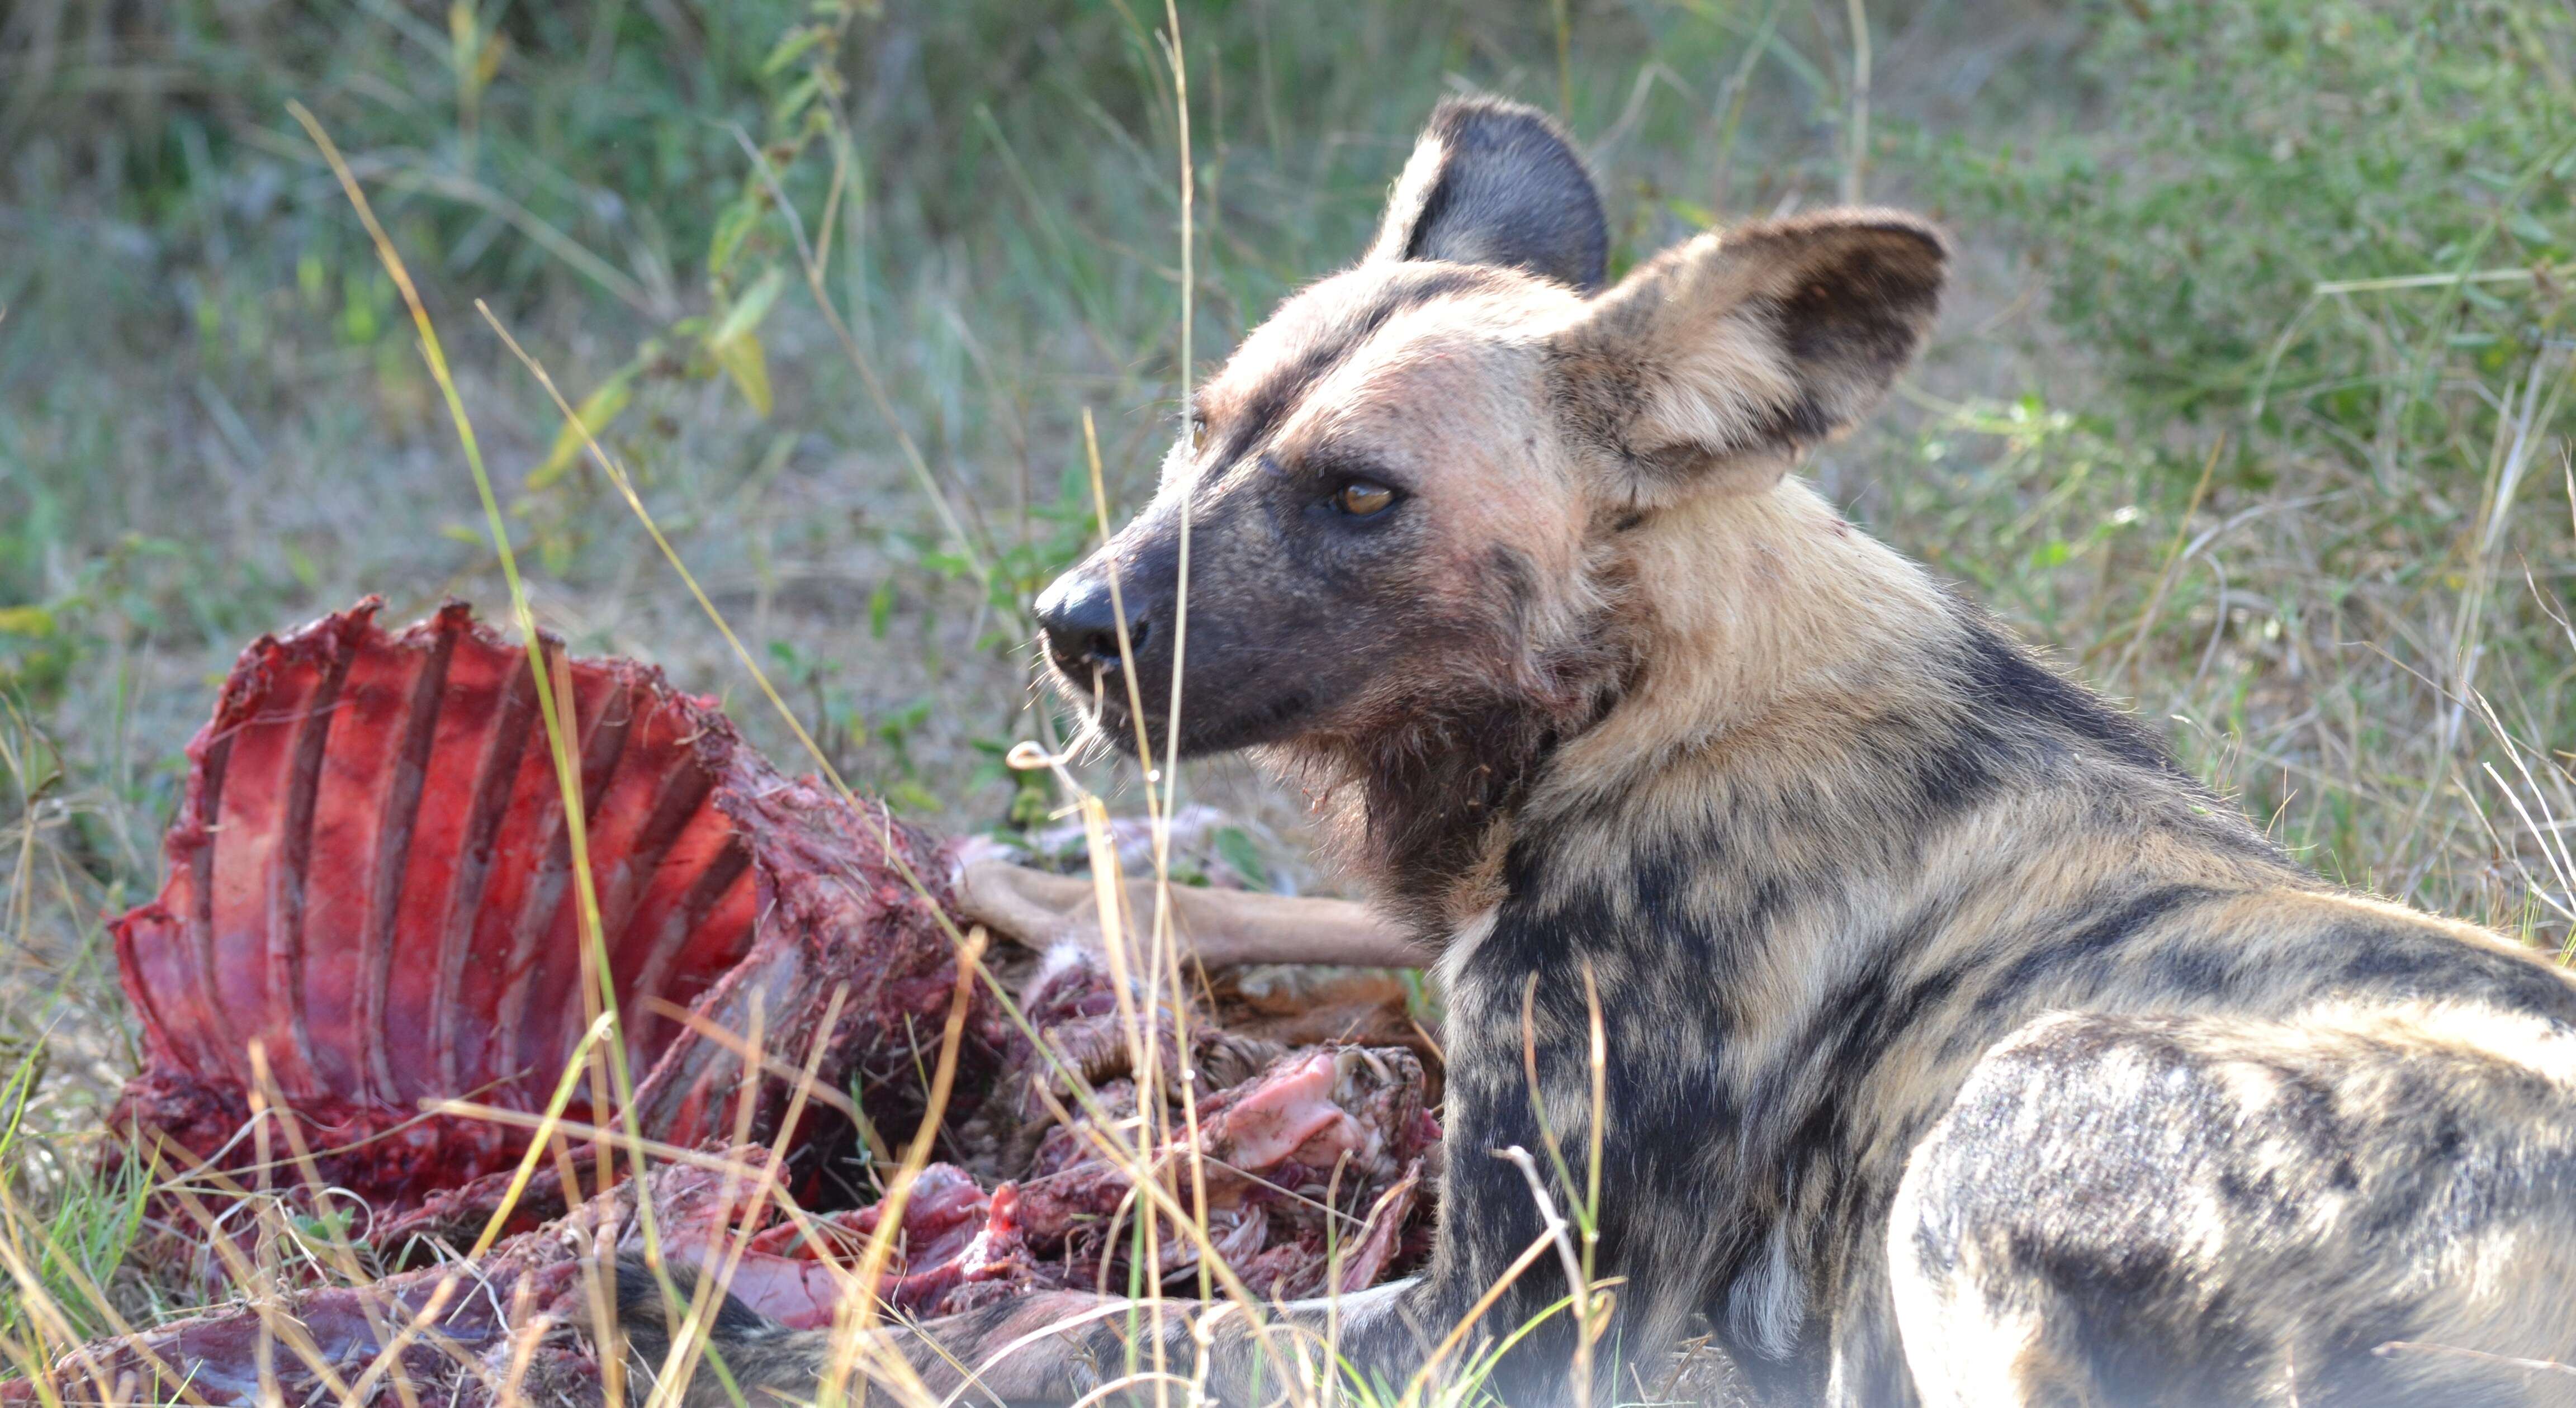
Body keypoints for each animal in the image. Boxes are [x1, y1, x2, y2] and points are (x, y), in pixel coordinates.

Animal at [649, 96, 2576, 1400]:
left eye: (1362, 495)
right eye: (1203, 432)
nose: (1070, 622)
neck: (1644, 697)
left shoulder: (1479, 1324)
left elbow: (1058, 1332)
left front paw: (749, 1316)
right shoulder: (1443, 953)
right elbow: (1277, 919)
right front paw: (1052, 892)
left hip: (2016, 1106)